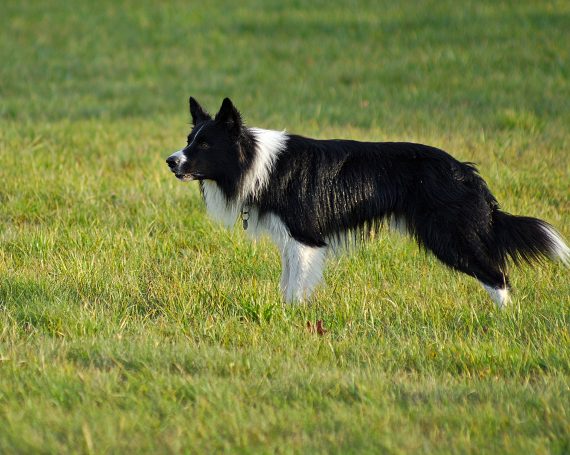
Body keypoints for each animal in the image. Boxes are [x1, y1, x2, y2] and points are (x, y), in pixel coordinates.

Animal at [166, 97, 564, 308]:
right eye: (189, 140)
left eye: (205, 144)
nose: (170, 160)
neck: (256, 160)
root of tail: (466, 172)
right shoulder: (292, 241)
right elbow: (287, 281)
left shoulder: (305, 238)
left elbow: (296, 286)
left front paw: (292, 318)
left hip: (450, 236)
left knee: (498, 276)